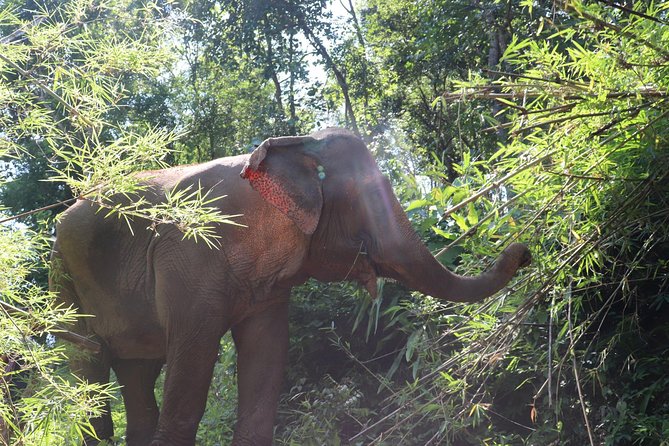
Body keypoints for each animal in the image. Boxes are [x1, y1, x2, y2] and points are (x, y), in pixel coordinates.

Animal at [50, 127, 531, 445]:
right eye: (369, 194)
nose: (523, 249)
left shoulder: (266, 289)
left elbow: (267, 358)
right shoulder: (189, 257)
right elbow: (192, 372)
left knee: (136, 376)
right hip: (63, 280)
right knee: (89, 371)